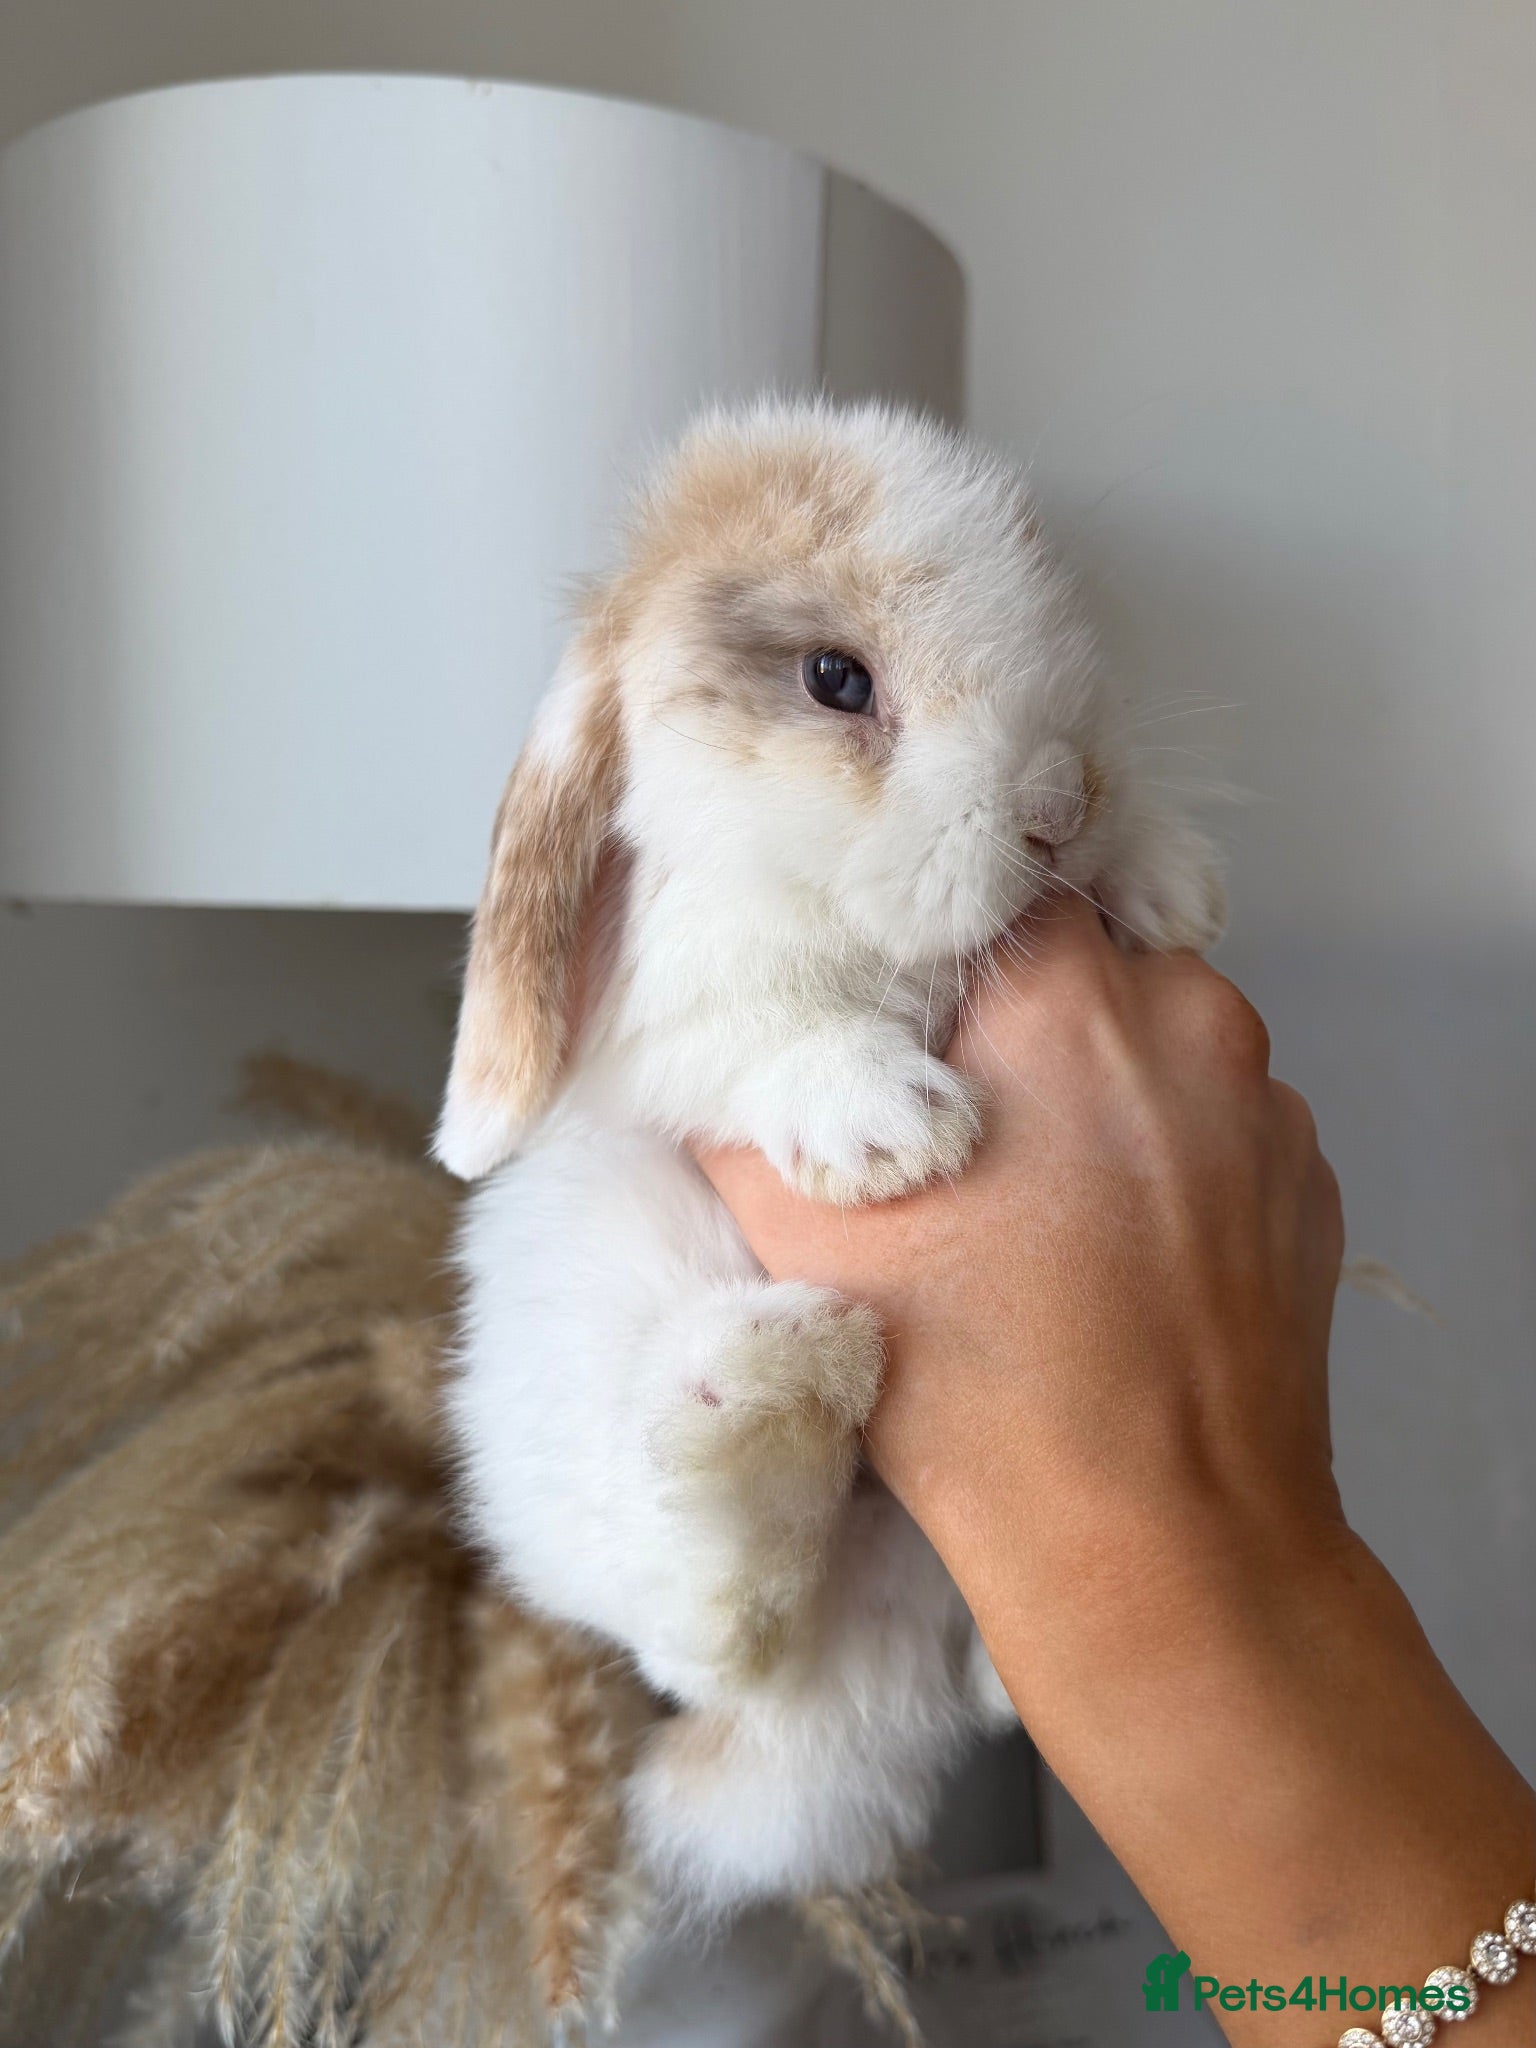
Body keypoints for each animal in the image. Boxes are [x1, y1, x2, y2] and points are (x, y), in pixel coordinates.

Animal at [436, 397, 1225, 1917]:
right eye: (834, 680)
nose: (1059, 802)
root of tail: (854, 1697)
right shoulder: (674, 1013)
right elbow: (764, 1032)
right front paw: (892, 1125)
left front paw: (1170, 880)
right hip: (588, 1311)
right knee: (710, 1629)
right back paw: (764, 1397)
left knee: (950, 1675)